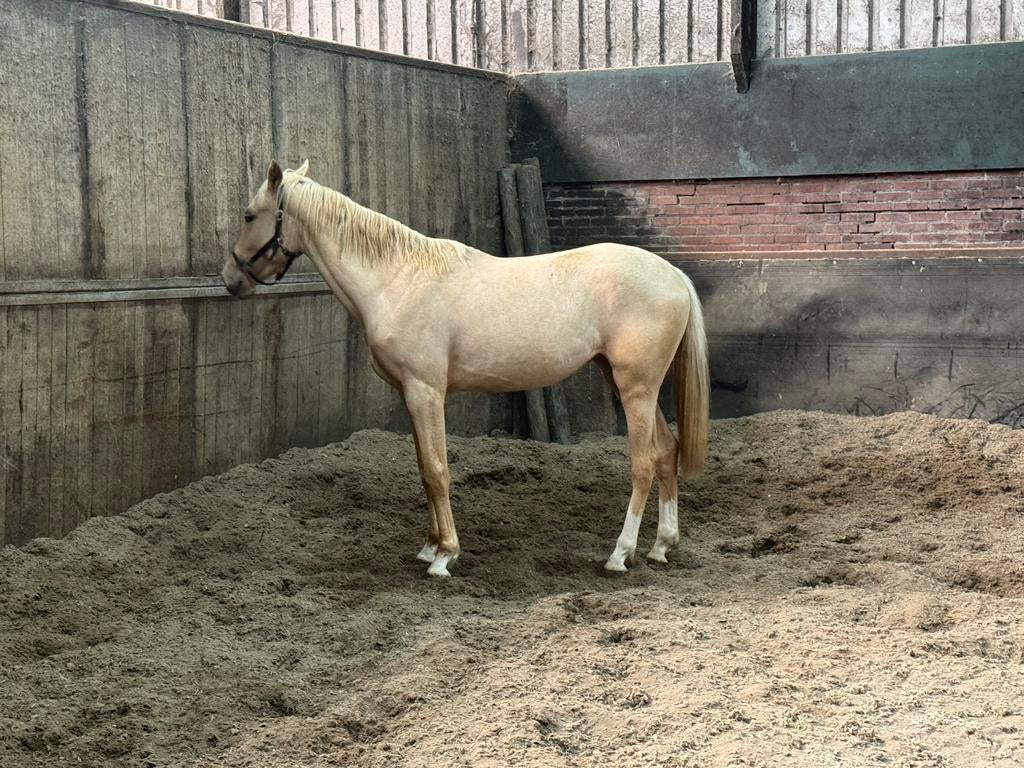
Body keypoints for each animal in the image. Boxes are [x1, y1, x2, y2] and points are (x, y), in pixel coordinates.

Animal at [222, 160, 709, 577]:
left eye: (249, 215)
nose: (230, 279)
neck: (397, 280)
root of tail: (673, 275)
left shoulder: (426, 392)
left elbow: (438, 471)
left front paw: (445, 556)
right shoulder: (410, 395)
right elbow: (424, 469)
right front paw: (429, 546)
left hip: (636, 389)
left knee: (643, 463)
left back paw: (620, 554)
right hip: (627, 383)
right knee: (667, 452)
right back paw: (661, 546)